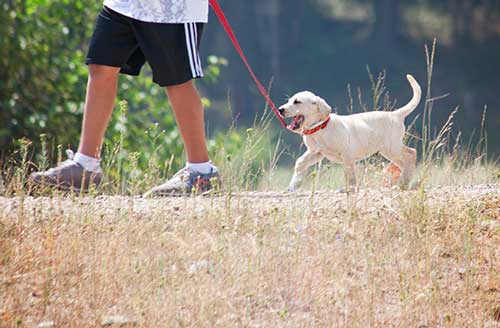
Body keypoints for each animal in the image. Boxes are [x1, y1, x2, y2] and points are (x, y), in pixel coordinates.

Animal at [278, 74, 422, 192]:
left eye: (297, 102)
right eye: (289, 101)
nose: (280, 109)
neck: (320, 128)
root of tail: (395, 114)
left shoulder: (347, 154)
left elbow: (349, 173)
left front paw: (350, 188)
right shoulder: (316, 153)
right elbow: (300, 163)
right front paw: (293, 185)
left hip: (392, 147)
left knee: (411, 153)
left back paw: (403, 183)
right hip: (388, 151)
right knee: (405, 163)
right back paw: (406, 182)